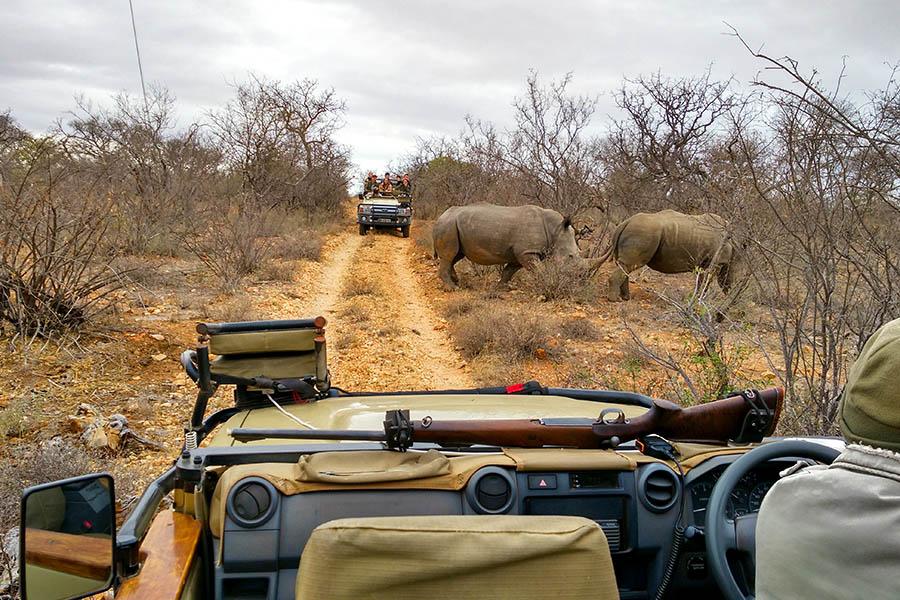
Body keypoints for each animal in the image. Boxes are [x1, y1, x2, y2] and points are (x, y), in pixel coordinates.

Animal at [432, 203, 585, 289]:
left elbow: (509, 271)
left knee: (455, 256)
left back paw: (456, 281)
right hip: (448, 225)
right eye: (570, 256)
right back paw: (453, 288)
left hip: (452, 225)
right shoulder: (527, 252)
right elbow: (539, 270)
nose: (579, 279)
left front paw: (501, 288)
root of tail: (441, 216)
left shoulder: (521, 253)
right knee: (449, 256)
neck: (555, 229)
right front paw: (549, 283)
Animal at [596, 209, 741, 301]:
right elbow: (707, 281)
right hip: (642, 233)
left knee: (625, 266)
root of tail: (625, 223)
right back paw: (615, 300)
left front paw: (696, 299)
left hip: (638, 232)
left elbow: (704, 280)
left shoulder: (708, 263)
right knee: (630, 265)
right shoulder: (718, 261)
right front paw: (699, 301)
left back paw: (626, 298)